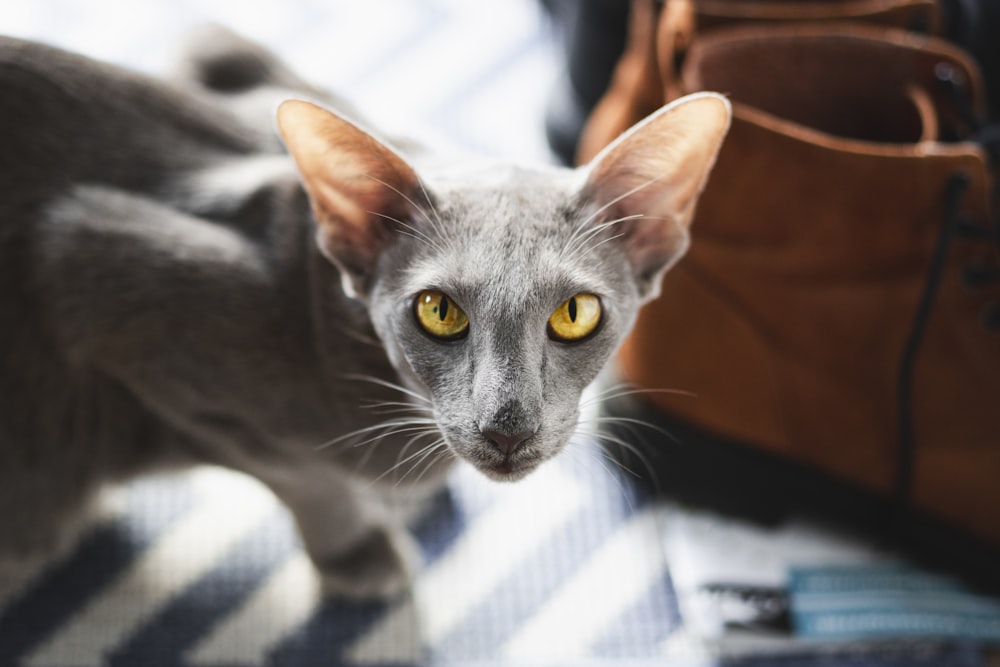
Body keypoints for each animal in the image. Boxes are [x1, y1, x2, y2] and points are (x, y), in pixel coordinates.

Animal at [0, 27, 728, 600]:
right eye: (438, 310)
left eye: (575, 314)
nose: (507, 427)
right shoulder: (86, 265)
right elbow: (297, 469)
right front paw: (359, 547)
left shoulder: (217, 46)